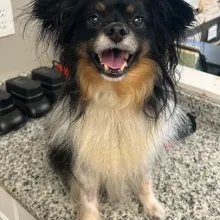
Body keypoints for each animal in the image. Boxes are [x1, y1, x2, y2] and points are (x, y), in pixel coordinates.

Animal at [25, 0, 194, 219]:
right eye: (93, 19)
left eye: (138, 20)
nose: (116, 30)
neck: (116, 95)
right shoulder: (85, 156)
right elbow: (88, 196)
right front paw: (90, 216)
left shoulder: (142, 148)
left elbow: (145, 181)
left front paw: (152, 206)